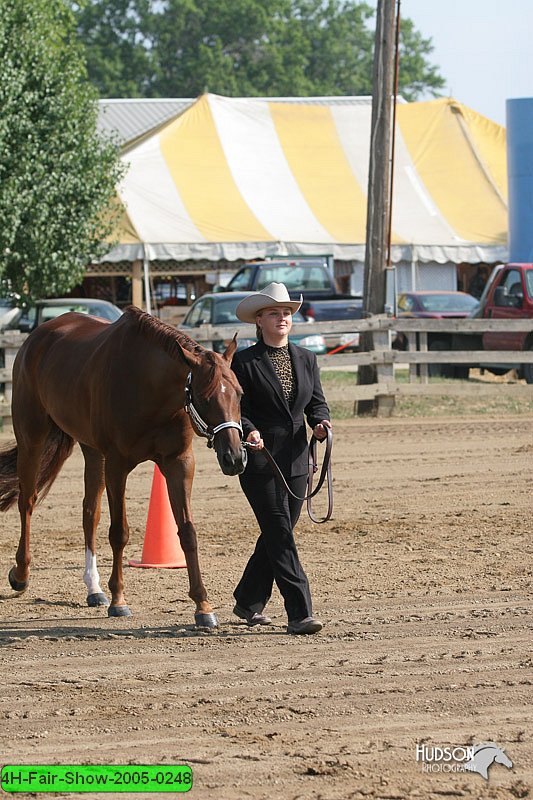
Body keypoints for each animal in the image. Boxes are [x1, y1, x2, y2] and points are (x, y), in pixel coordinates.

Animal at [0, 304, 245, 624]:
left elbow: (188, 532)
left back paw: (94, 588)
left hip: (93, 451)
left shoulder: (179, 463)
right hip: (33, 439)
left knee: (89, 512)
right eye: (204, 398)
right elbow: (119, 533)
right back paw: (21, 574)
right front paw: (119, 600)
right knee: (27, 502)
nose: (235, 457)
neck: (149, 386)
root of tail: (36, 337)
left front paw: (203, 606)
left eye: (239, 393)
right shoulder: (117, 465)